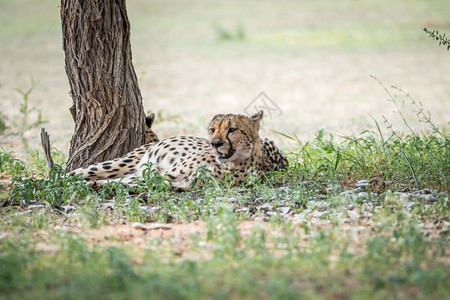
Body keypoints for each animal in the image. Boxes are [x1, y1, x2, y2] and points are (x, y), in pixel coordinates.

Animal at [70, 111, 288, 191]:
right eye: (212, 130)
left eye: (232, 130)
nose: (215, 143)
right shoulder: (166, 175)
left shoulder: (175, 182)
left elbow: (126, 183)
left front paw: (96, 186)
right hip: (120, 163)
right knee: (73, 173)